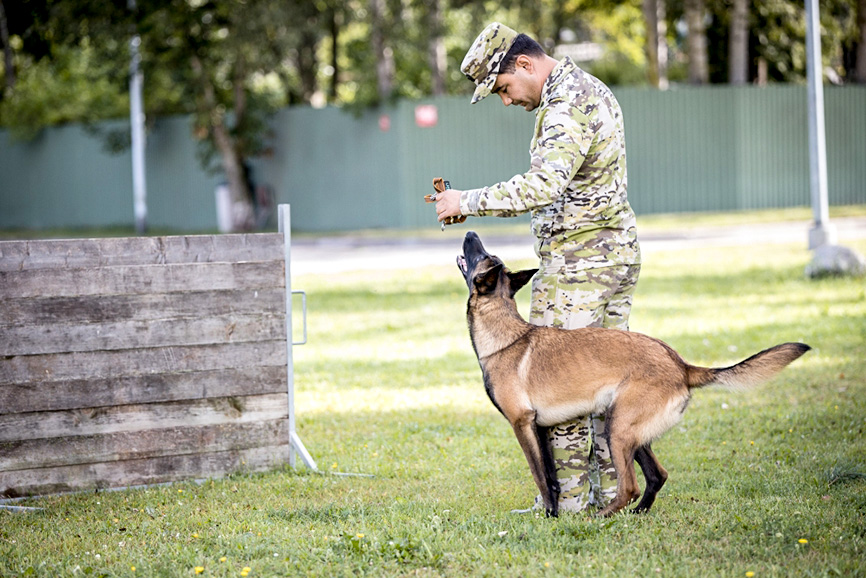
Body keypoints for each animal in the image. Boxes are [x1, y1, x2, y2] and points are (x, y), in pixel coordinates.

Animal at [460, 231, 808, 516]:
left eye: (480, 255)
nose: (470, 232)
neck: (503, 334)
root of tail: (681, 364)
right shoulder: (540, 427)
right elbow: (552, 476)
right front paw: (554, 512)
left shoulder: (522, 424)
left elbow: (541, 476)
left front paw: (549, 515)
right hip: (630, 432)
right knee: (657, 475)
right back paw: (637, 514)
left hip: (617, 429)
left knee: (630, 486)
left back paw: (601, 518)